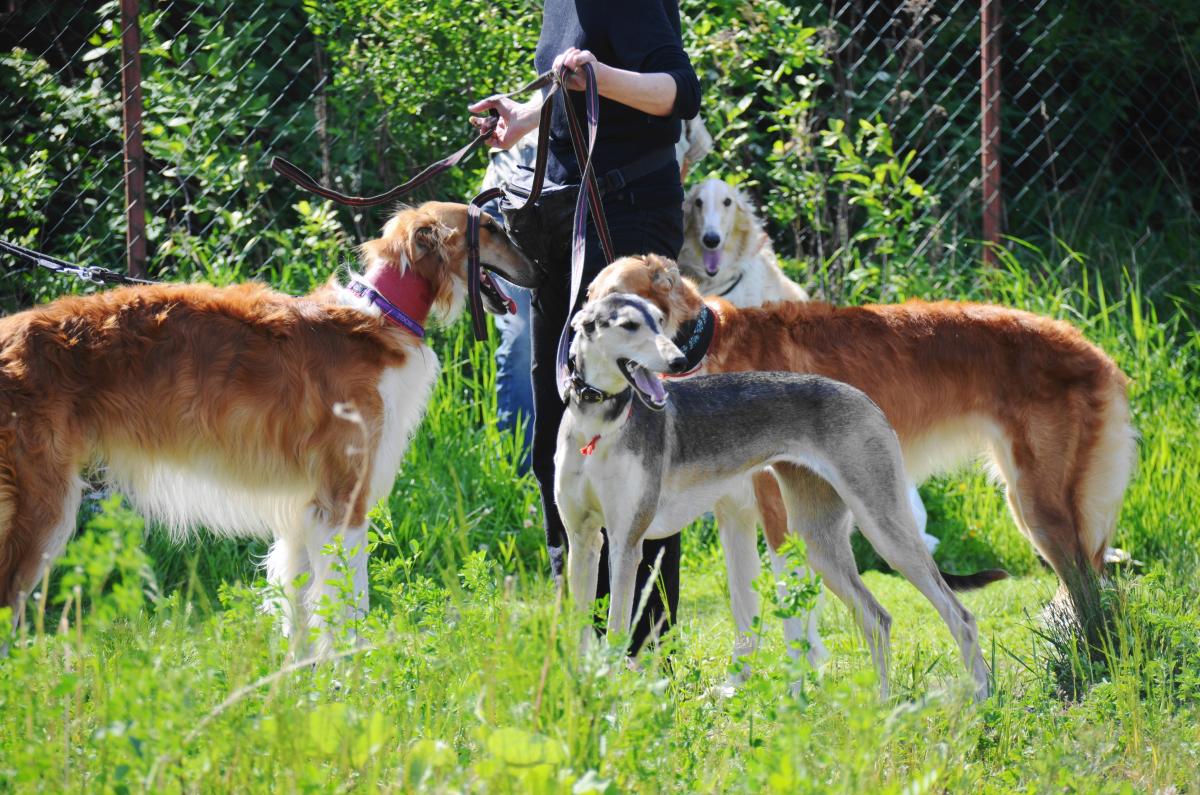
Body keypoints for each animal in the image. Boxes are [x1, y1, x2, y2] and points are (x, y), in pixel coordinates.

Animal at [0, 201, 537, 652]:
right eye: (490, 227)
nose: (538, 270)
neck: (380, 319)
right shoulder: (343, 503)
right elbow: (349, 608)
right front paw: (357, 681)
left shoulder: (303, 510)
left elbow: (298, 612)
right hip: (42, 509)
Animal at [556, 293, 1005, 699]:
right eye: (631, 325)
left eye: (659, 321)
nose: (678, 362)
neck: (598, 427)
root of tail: (863, 398)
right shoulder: (585, 542)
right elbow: (579, 627)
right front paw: (578, 693)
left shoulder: (627, 543)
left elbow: (615, 630)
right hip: (818, 541)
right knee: (877, 618)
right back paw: (880, 705)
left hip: (884, 527)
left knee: (959, 616)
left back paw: (981, 696)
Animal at [588, 254, 1136, 653]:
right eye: (590, 297)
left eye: (624, 302)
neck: (703, 348)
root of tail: (1094, 350)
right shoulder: (735, 513)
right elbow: (745, 615)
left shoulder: (778, 516)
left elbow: (796, 622)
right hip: (1027, 503)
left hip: (1037, 506)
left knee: (1087, 588)